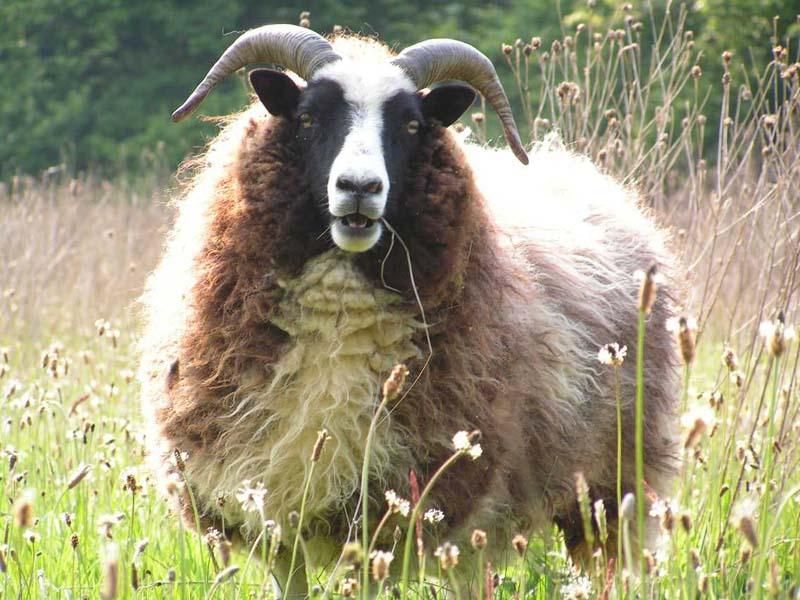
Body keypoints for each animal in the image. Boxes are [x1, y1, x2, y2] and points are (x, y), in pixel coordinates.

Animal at [138, 24, 680, 593]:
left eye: (412, 124)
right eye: (307, 117)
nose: (359, 188)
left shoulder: (387, 514)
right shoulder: (273, 514)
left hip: (610, 485)